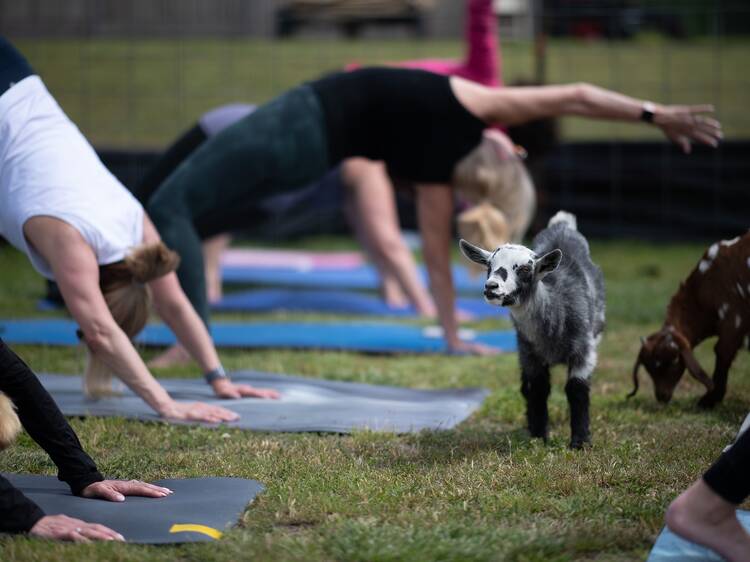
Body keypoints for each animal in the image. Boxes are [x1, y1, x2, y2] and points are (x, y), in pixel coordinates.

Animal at [462, 211, 608, 446]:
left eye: (524, 269)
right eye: (488, 266)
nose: (491, 286)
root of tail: (562, 225)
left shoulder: (584, 351)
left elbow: (577, 389)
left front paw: (580, 442)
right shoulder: (529, 354)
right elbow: (538, 388)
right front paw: (539, 436)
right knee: (525, 387)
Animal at [628, 230, 750, 404]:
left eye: (673, 361)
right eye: (648, 368)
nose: (662, 397)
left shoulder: (733, 321)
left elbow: (721, 353)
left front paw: (708, 401)